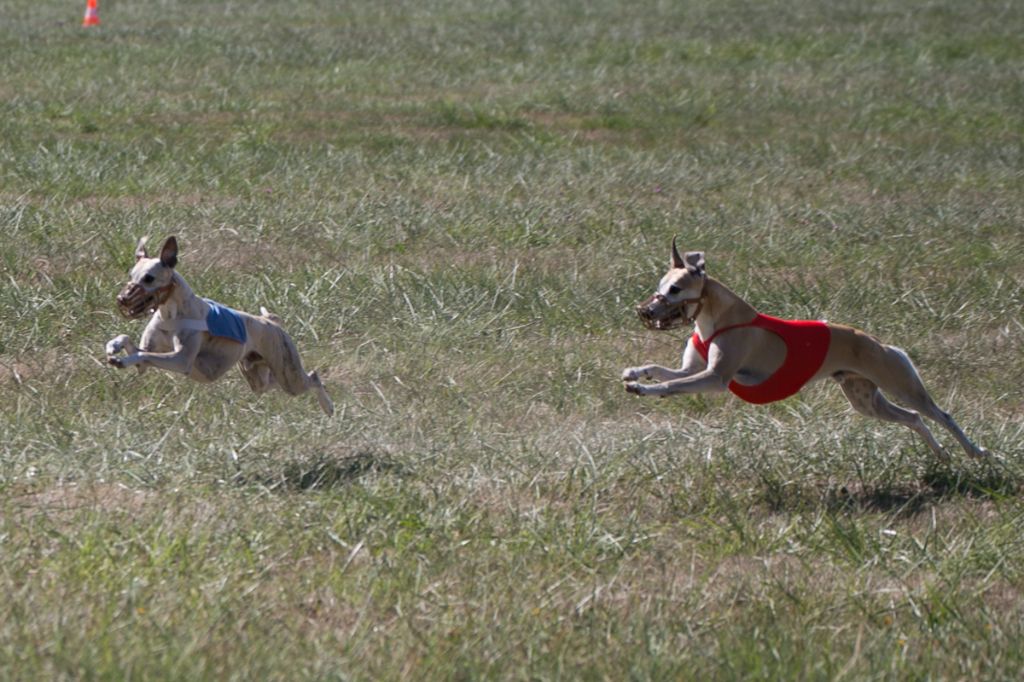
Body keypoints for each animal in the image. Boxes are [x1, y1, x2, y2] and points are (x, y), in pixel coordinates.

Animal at [618, 236, 987, 458]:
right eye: (660, 285)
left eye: (676, 289)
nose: (646, 311)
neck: (716, 319)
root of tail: (880, 342)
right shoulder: (693, 369)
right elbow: (662, 369)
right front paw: (635, 372)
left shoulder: (715, 378)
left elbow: (671, 384)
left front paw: (643, 389)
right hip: (866, 401)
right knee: (913, 418)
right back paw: (941, 454)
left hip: (901, 384)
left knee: (940, 414)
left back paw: (975, 452)